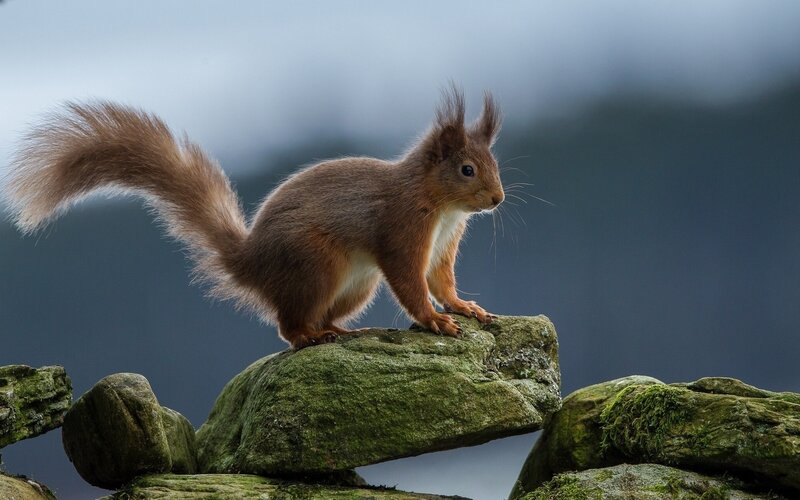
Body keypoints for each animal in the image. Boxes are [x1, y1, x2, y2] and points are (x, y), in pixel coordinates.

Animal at [5, 87, 505, 349]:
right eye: (467, 169)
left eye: (495, 164)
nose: (497, 199)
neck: (440, 206)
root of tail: (251, 263)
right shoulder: (402, 229)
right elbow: (409, 281)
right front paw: (434, 320)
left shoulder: (443, 243)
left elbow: (441, 280)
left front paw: (462, 307)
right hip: (318, 265)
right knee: (287, 325)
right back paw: (310, 337)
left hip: (355, 286)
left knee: (312, 316)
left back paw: (334, 329)